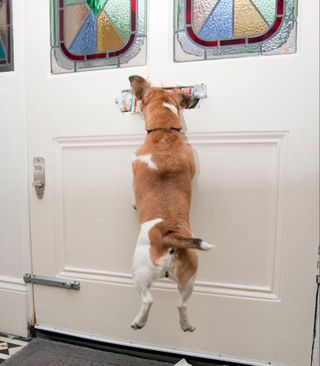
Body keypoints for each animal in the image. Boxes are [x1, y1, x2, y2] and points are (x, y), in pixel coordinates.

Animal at [129, 75, 214, 332]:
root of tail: (170, 236)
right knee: (181, 304)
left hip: (139, 271)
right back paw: (186, 326)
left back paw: (138, 322)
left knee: (148, 299)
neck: (164, 132)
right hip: (190, 277)